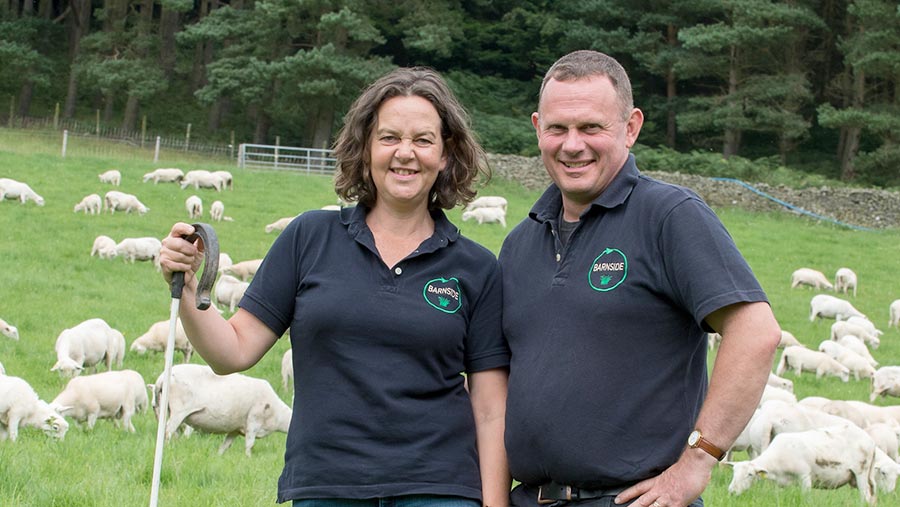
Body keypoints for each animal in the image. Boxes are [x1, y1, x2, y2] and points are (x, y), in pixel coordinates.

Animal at [153, 364, 290, 458]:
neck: (279, 416)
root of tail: (161, 379)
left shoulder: (236, 429)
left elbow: (226, 445)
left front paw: (218, 456)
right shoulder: (253, 422)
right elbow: (249, 444)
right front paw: (248, 458)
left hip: (165, 409)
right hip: (178, 411)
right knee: (168, 431)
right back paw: (168, 448)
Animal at [724, 424, 880, 504]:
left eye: (750, 475)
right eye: (733, 473)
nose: (731, 492)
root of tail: (871, 442)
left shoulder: (805, 476)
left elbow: (806, 498)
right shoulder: (782, 483)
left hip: (861, 472)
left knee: (865, 497)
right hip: (858, 477)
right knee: (871, 497)